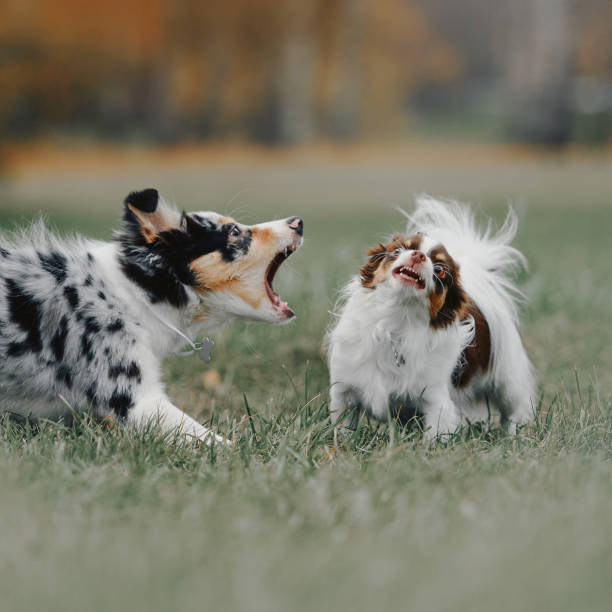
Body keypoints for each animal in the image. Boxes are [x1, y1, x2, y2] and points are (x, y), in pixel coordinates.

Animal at [326, 196, 536, 440]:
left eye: (440, 270)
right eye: (397, 251)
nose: (419, 255)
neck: (397, 322)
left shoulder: (436, 400)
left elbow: (434, 435)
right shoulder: (345, 391)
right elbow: (342, 429)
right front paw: (342, 443)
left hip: (508, 382)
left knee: (515, 410)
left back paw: (515, 435)